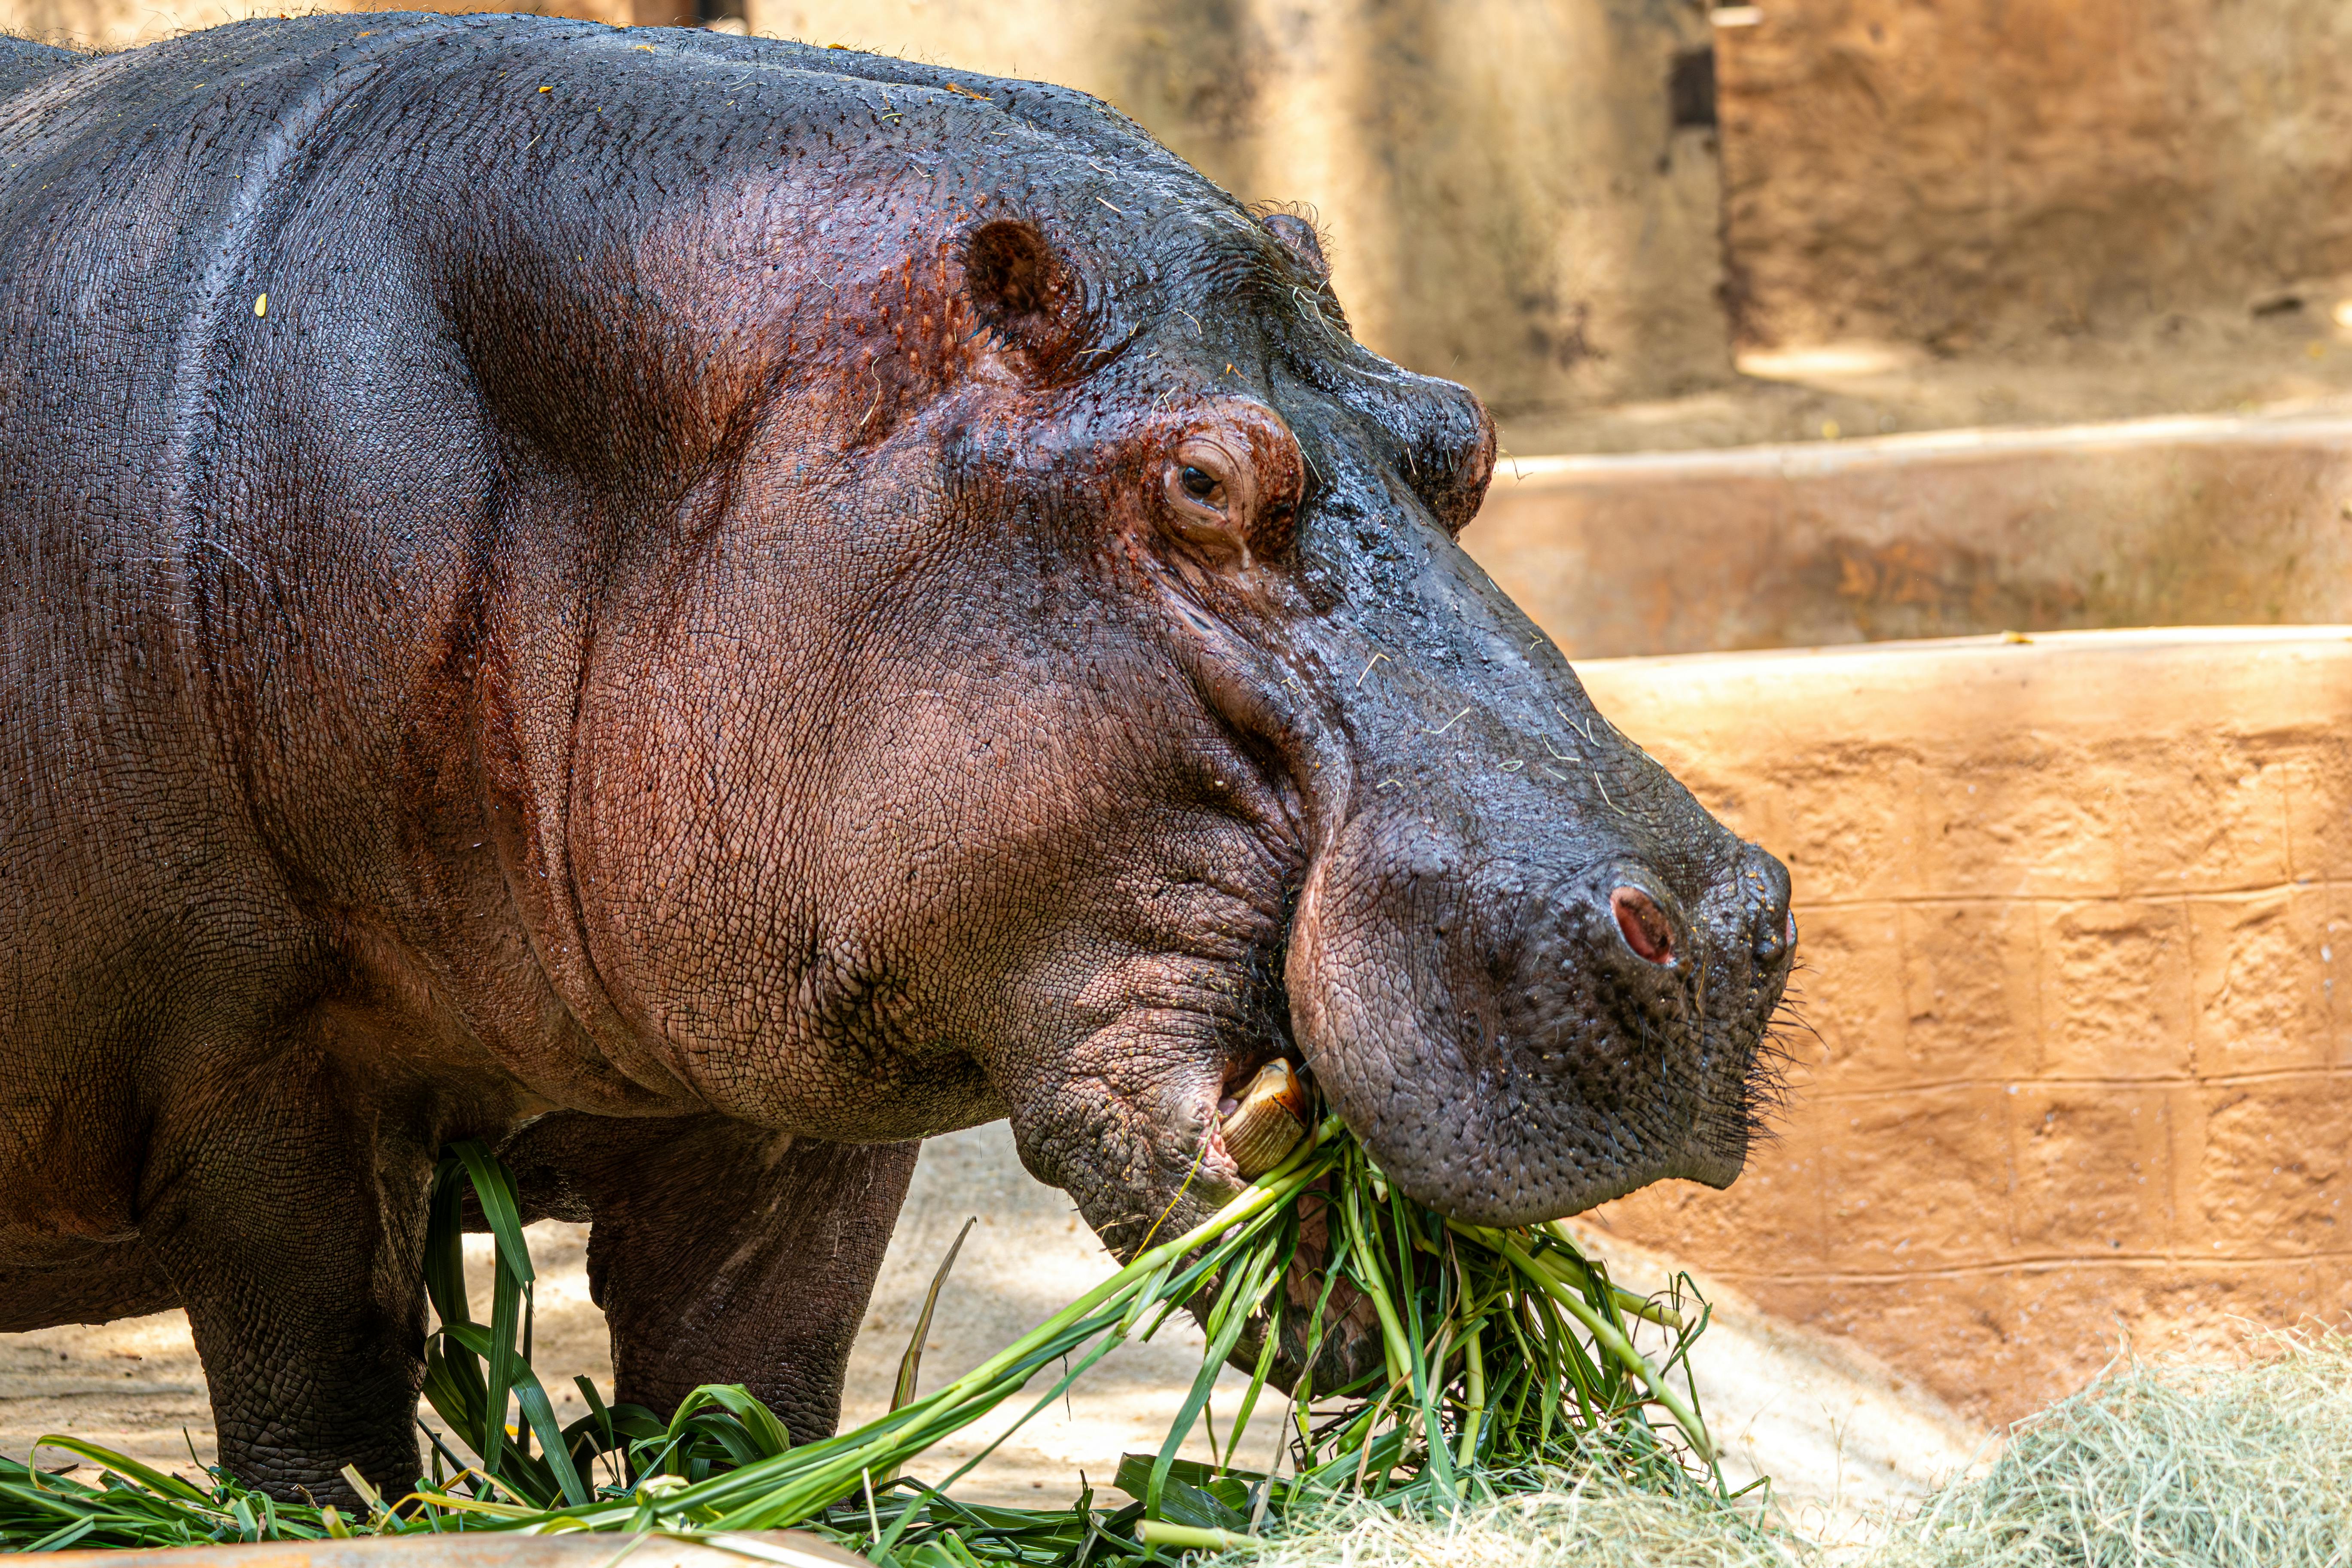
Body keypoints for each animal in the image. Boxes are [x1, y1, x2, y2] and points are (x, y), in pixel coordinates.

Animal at [0, 14, 1794, 1503]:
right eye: (1203, 481)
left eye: (1463, 435)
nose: (1723, 924)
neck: (632, 445)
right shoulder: (263, 1066)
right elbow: (324, 1395)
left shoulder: (796, 1095)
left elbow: (750, 1382)